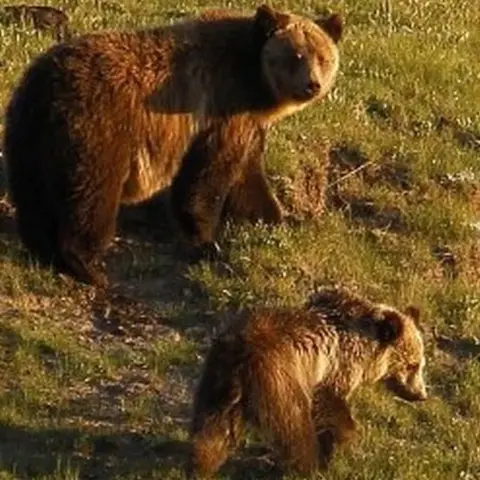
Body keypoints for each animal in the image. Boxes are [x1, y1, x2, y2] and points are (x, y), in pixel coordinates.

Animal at [1, 3, 344, 286]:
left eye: (323, 57)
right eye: (295, 55)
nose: (312, 84)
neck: (255, 84)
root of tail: (47, 85)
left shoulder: (247, 124)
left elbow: (247, 178)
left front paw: (274, 219)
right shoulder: (219, 108)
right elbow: (205, 179)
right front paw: (207, 241)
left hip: (26, 131)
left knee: (33, 195)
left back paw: (44, 250)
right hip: (99, 128)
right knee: (92, 194)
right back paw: (88, 267)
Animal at [188, 286, 428, 478]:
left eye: (420, 364)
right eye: (412, 365)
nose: (420, 395)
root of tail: (241, 356)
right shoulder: (333, 369)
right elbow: (330, 407)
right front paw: (341, 443)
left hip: (217, 379)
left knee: (212, 427)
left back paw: (202, 465)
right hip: (279, 380)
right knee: (294, 427)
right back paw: (308, 466)